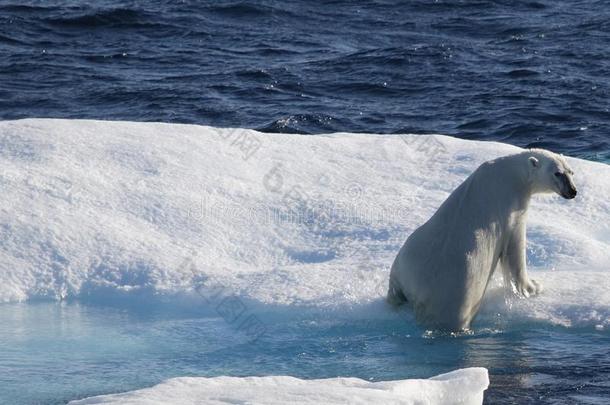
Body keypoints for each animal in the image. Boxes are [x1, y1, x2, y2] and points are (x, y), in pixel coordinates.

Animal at [388, 149, 576, 332]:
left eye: (571, 172)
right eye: (557, 173)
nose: (573, 191)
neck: (512, 174)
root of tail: (418, 293)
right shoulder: (511, 208)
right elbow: (515, 249)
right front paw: (533, 288)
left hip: (408, 252)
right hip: (459, 291)